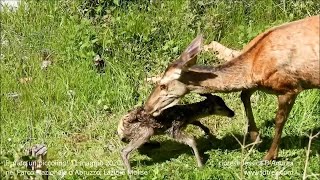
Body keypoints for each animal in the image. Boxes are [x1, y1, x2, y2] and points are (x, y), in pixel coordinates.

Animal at [143, 14, 320, 160]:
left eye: (163, 85)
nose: (147, 107)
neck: (252, 67)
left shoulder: (289, 87)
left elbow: (279, 121)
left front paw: (270, 156)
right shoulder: (256, 84)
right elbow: (244, 95)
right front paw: (255, 138)